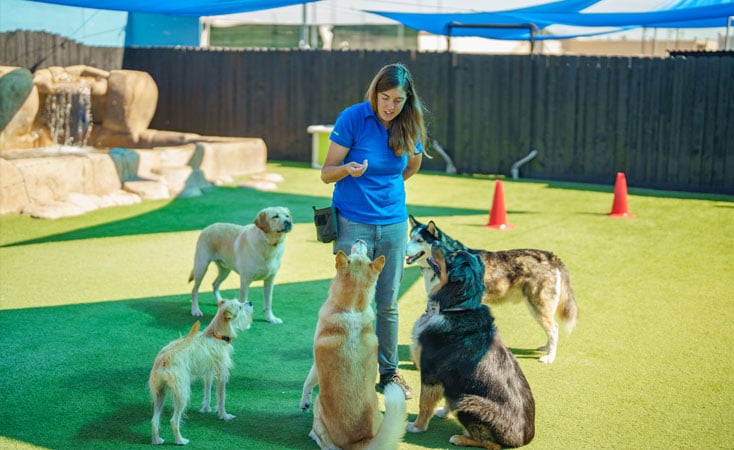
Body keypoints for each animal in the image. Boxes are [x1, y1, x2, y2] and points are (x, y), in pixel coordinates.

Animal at [148, 298, 254, 446]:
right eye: (239, 307)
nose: (250, 302)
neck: (216, 335)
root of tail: (166, 356)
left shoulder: (208, 374)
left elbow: (207, 392)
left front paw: (205, 409)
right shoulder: (221, 375)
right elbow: (222, 398)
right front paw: (224, 416)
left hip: (160, 393)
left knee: (154, 420)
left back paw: (157, 440)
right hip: (182, 393)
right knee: (174, 421)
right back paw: (180, 441)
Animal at [300, 241, 408, 448]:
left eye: (360, 254)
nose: (361, 241)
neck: (350, 310)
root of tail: (360, 441)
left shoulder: (316, 364)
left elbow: (307, 382)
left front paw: (303, 402)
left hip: (319, 405)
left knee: (325, 442)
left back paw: (313, 434)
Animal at [406, 214, 576, 362]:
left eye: (420, 240)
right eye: (410, 237)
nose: (404, 250)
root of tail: (552, 257)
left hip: (538, 305)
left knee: (554, 328)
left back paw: (550, 357)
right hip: (535, 307)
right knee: (551, 328)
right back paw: (546, 347)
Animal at [408, 243, 536, 450]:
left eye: (451, 257)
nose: (434, 243)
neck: (455, 307)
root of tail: (522, 440)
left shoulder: (430, 373)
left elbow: (424, 403)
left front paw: (418, 426)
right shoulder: (448, 380)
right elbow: (446, 397)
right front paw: (444, 412)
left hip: (467, 401)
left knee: (493, 445)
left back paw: (460, 438)